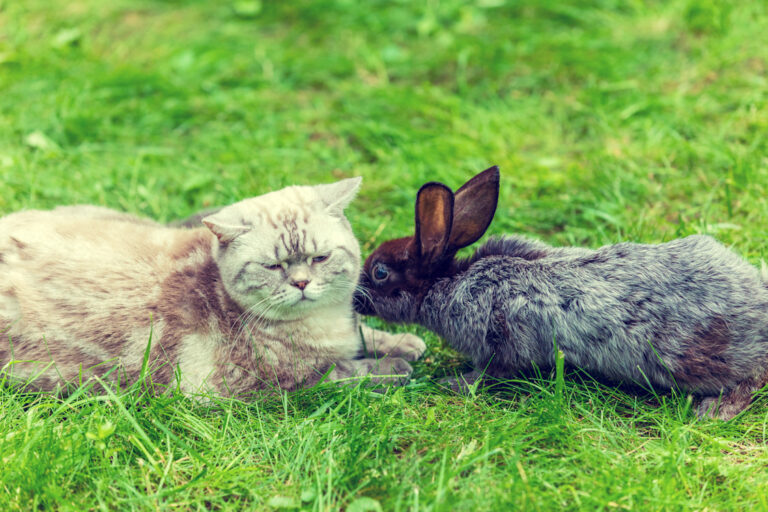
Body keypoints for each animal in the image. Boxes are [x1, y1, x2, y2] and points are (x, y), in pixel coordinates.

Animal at [353, 166, 768, 420]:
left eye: (380, 272)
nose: (355, 299)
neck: (449, 283)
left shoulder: (500, 341)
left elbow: (489, 373)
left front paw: (452, 383)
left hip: (693, 358)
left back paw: (715, 409)